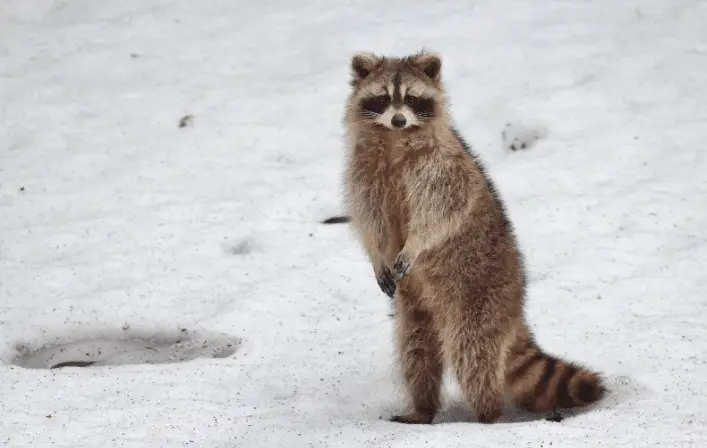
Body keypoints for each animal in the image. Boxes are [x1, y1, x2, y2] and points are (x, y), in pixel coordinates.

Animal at [343, 51, 605, 424]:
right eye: (382, 98)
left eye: (410, 98)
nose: (398, 119)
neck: (394, 141)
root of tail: (515, 309)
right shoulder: (363, 172)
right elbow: (370, 220)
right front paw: (377, 255)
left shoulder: (443, 169)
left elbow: (440, 214)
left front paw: (415, 244)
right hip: (415, 308)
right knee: (416, 351)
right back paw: (423, 409)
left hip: (479, 298)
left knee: (473, 352)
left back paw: (487, 414)